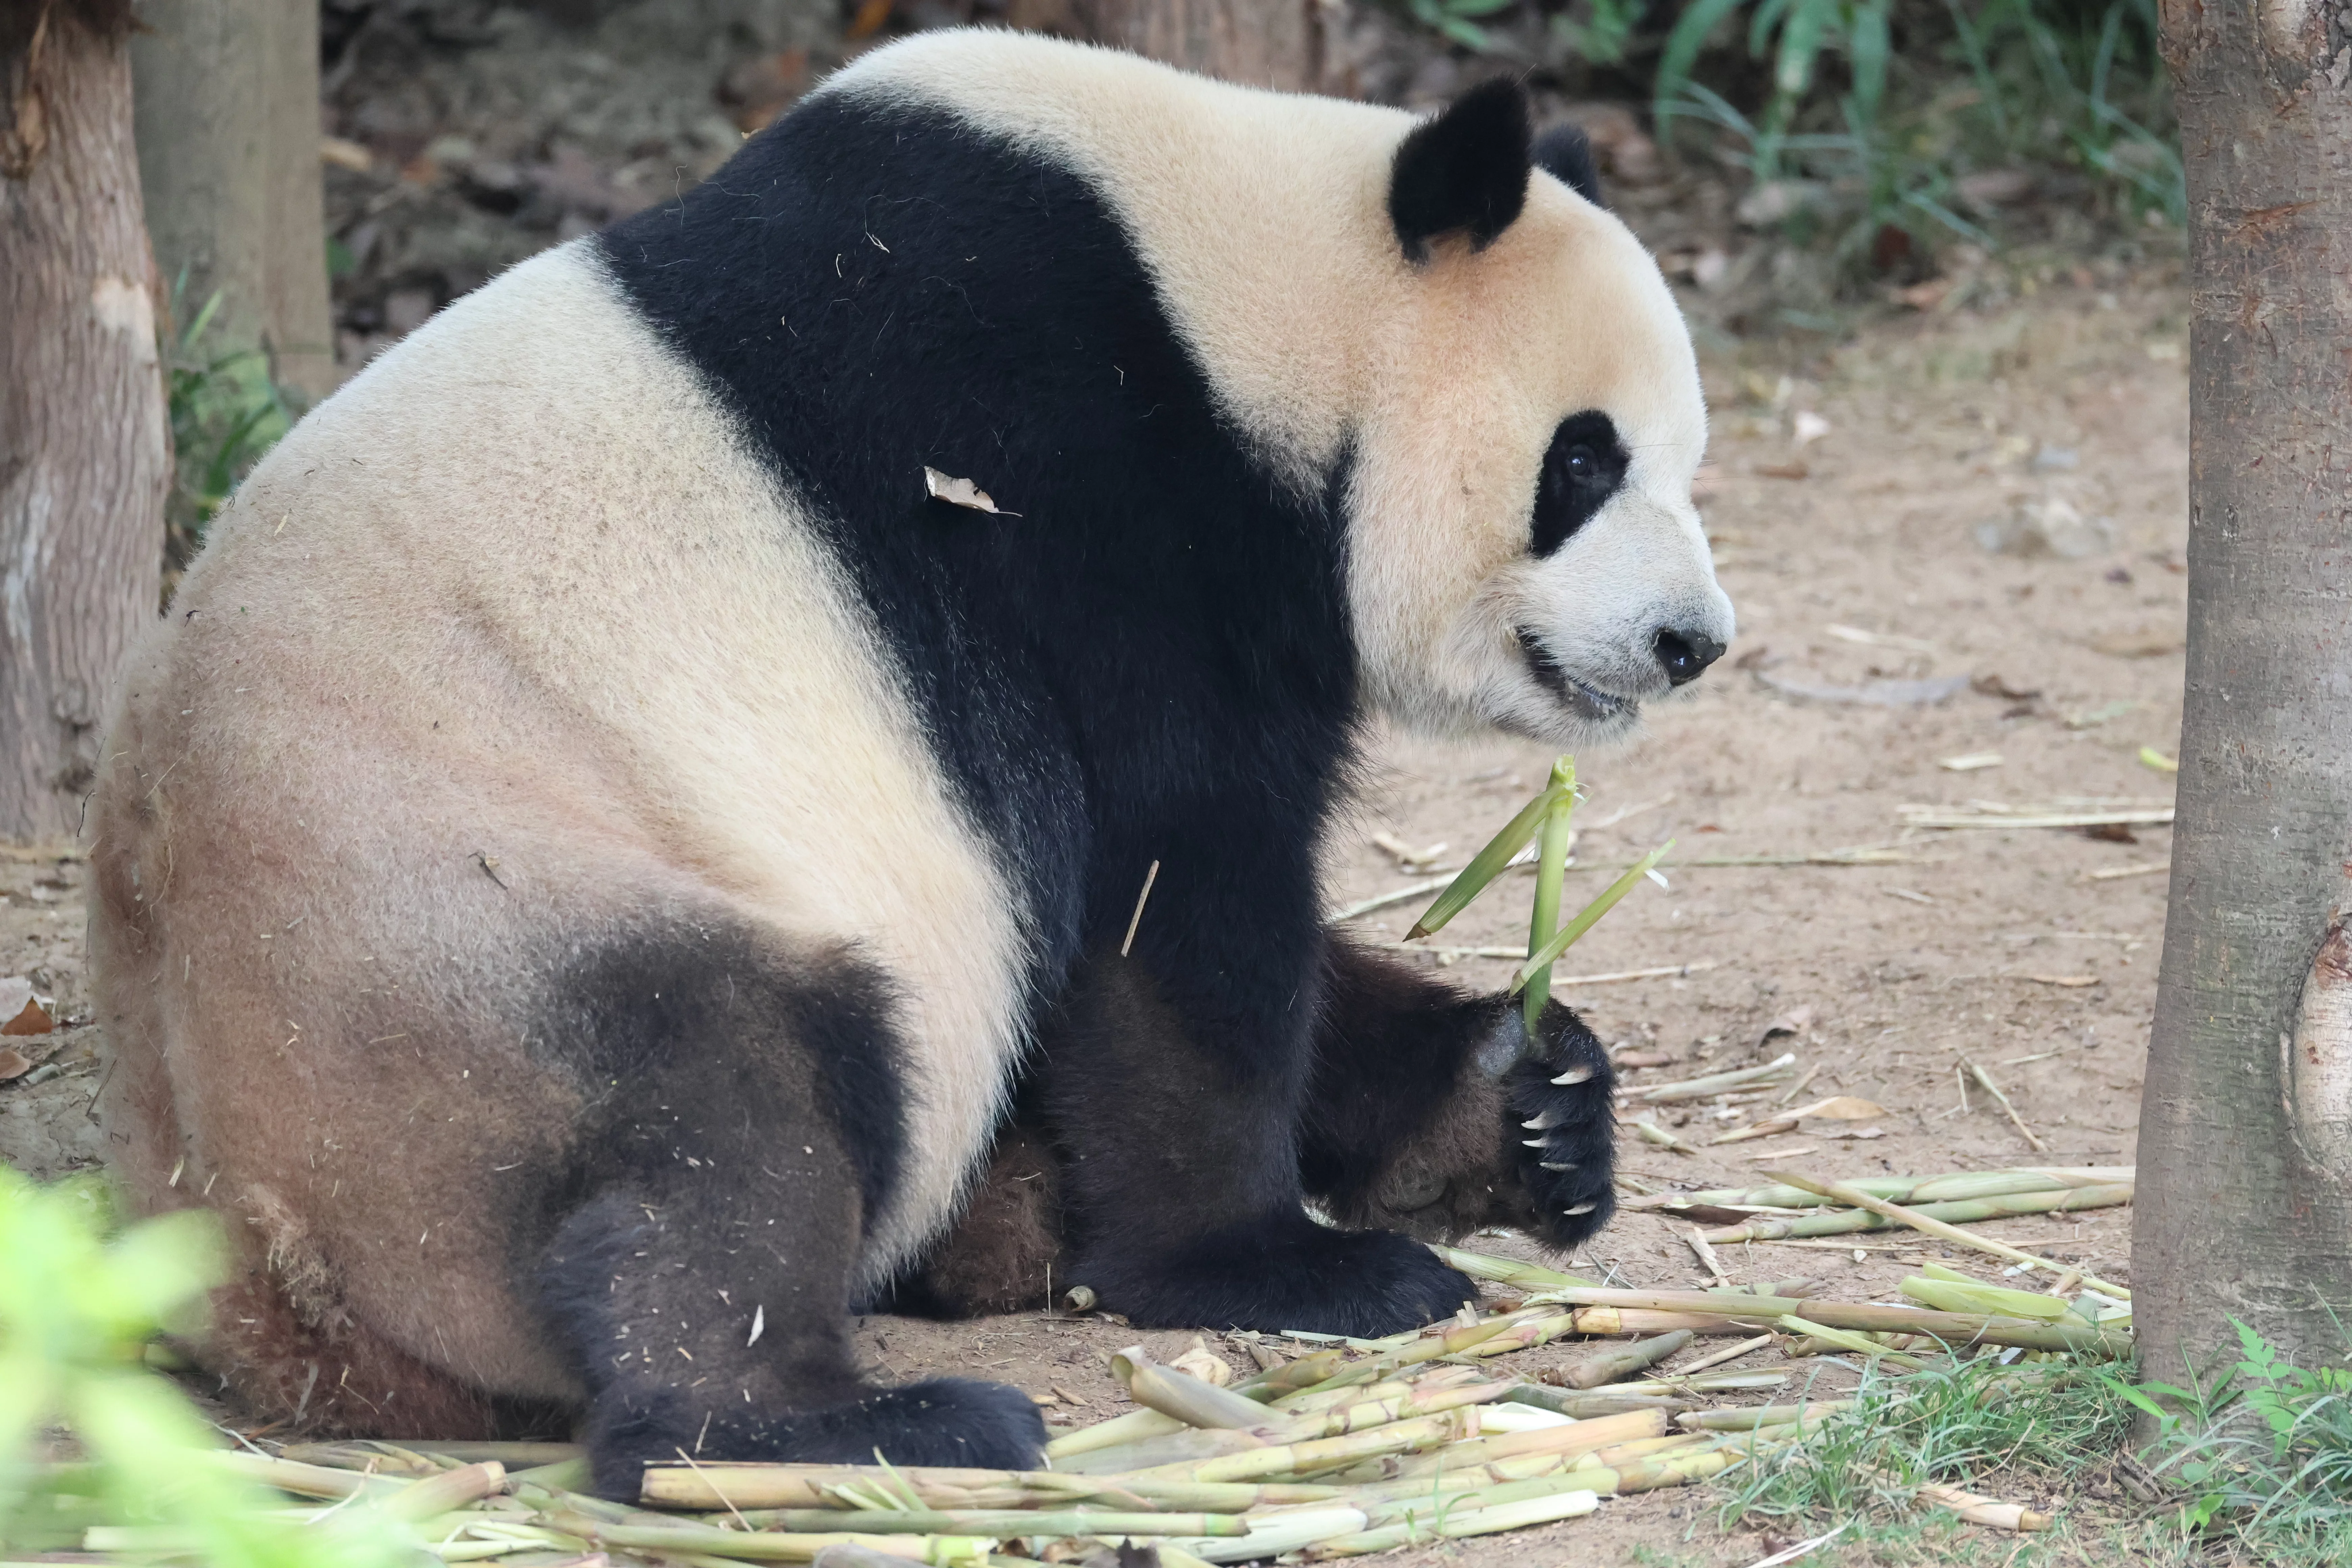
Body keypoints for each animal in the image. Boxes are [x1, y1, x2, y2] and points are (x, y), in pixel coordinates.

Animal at [87, 30, 1732, 1498]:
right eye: (1580, 461)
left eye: (1684, 458)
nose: (1689, 641)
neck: (1249, 305)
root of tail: (257, 1277)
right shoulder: (1090, 502)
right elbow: (1174, 901)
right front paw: (1282, 1262)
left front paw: (1523, 1104)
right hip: (455, 955)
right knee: (723, 1118)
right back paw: (840, 1425)